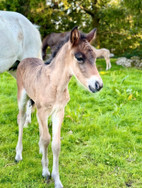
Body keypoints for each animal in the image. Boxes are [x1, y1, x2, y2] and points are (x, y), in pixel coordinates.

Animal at [15, 26, 103, 188]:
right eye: (79, 57)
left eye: (95, 57)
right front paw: (45, 172)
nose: (98, 85)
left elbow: (55, 144)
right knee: (21, 118)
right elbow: (46, 139)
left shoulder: (58, 112)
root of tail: (26, 59)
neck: (55, 84)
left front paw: (57, 179)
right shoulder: (43, 111)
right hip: (22, 97)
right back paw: (18, 154)